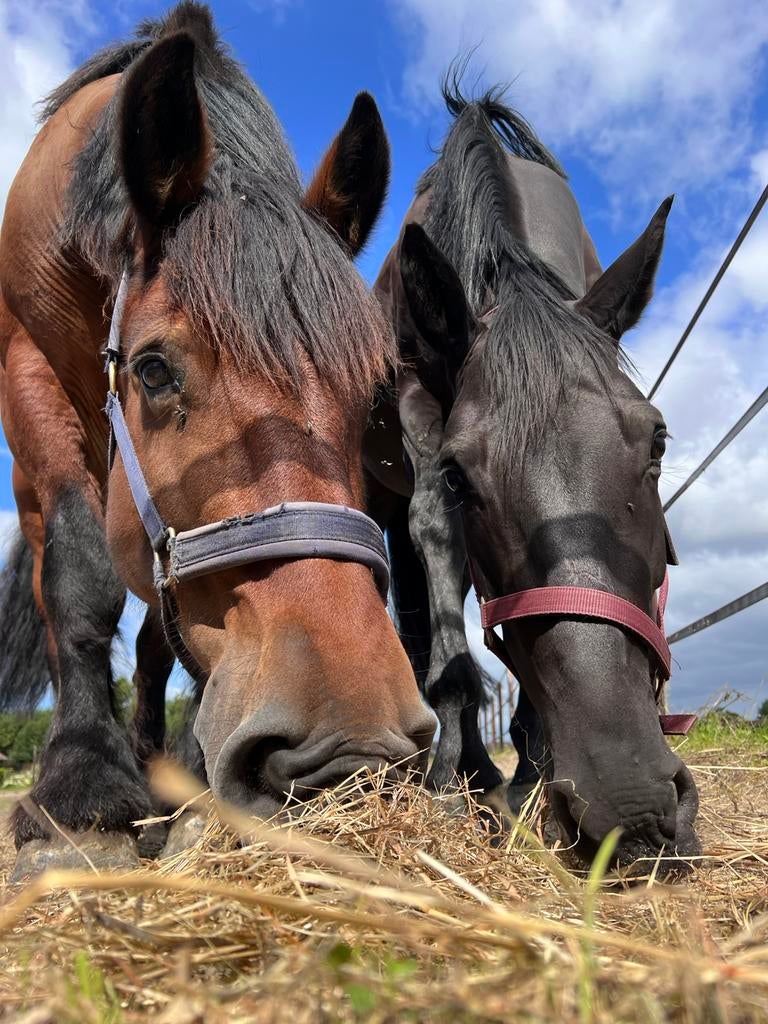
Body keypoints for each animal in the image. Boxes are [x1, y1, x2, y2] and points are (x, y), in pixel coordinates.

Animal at [0, 1, 435, 879]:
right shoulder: (26, 361)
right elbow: (79, 574)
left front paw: (189, 792)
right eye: (154, 369)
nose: (354, 749)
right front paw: (80, 788)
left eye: (377, 394)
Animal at [368, 83, 700, 868]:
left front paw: (529, 770)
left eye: (657, 441)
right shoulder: (423, 419)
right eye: (460, 478)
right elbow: (442, 566)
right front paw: (455, 787)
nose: (632, 803)